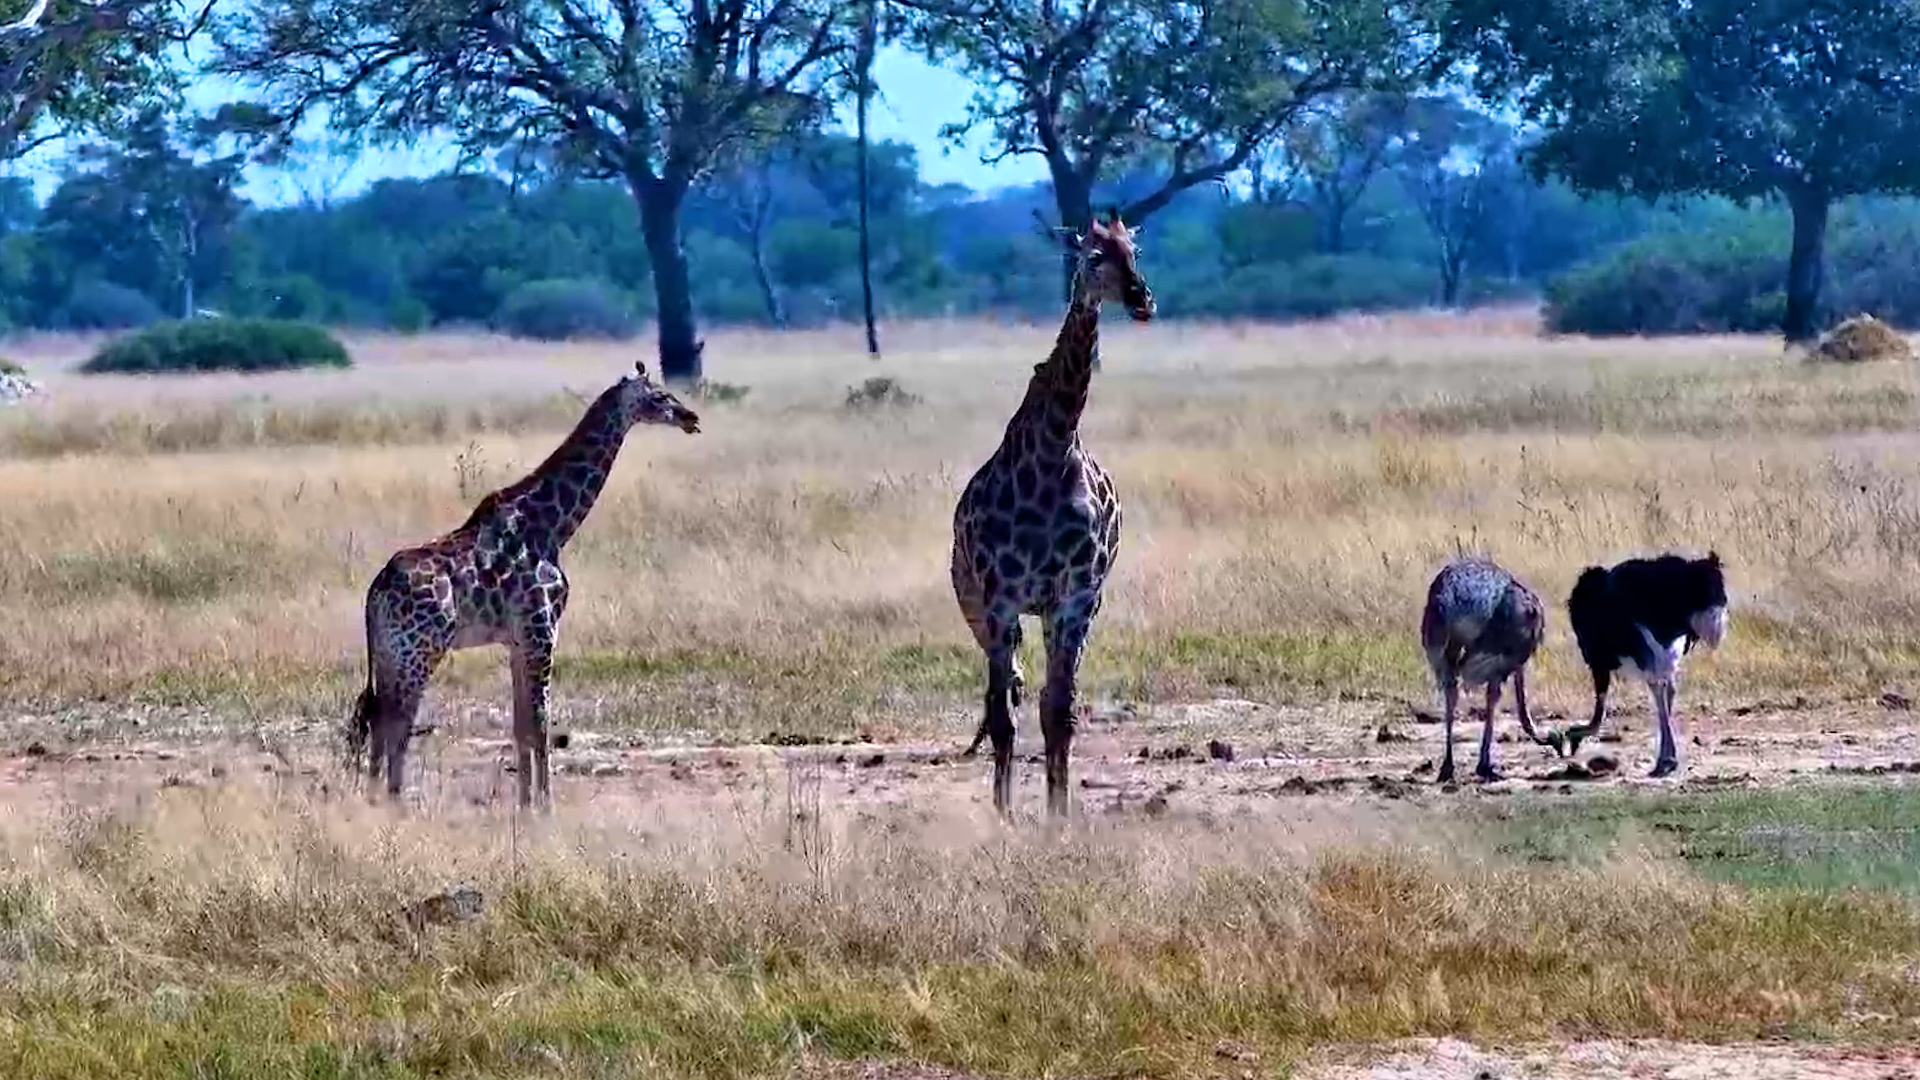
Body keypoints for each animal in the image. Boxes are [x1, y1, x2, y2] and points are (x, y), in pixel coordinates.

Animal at [345, 360, 701, 808]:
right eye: (660, 396)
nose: (691, 418)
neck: (552, 526)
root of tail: (375, 592)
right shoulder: (542, 630)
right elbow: (540, 722)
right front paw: (546, 806)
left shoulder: (519, 639)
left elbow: (521, 724)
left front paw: (526, 803)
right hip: (420, 650)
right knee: (395, 721)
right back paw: (392, 802)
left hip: (392, 653)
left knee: (380, 718)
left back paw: (377, 800)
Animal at [951, 207, 1155, 816]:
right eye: (1094, 255)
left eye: (1135, 250)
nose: (1141, 299)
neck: (1054, 448)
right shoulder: (1000, 601)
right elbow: (1004, 718)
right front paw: (1003, 815)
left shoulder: (1077, 598)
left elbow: (1059, 713)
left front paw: (1057, 817)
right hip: (979, 606)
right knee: (1003, 701)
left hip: (1051, 613)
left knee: (1037, 699)